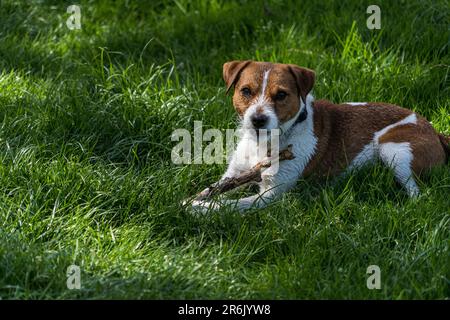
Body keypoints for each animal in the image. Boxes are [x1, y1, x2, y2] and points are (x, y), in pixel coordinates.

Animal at [191, 60, 450, 212]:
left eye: (281, 95)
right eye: (246, 91)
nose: (258, 120)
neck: (264, 143)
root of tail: (435, 131)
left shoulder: (270, 195)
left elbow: (227, 204)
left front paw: (198, 208)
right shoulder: (234, 175)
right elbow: (215, 188)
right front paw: (196, 199)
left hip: (393, 149)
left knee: (417, 194)